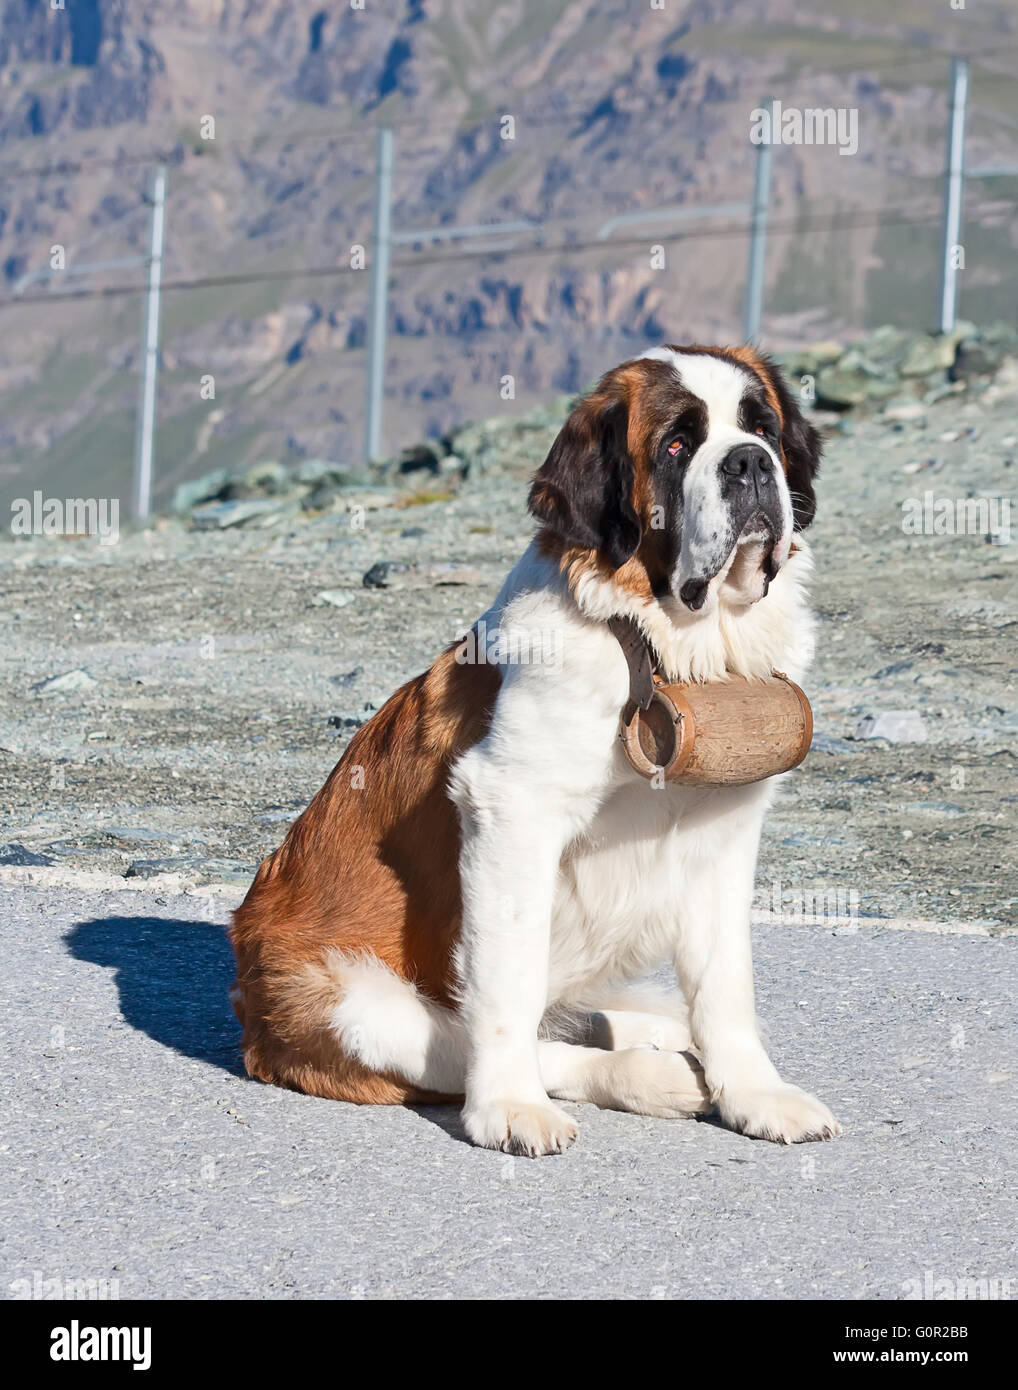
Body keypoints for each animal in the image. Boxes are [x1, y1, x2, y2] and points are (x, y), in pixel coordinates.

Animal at [232, 344, 845, 1150]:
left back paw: (650, 1039)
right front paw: (510, 1107)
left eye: (762, 427)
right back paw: (652, 1076)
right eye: (676, 445)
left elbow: (726, 986)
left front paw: (756, 1094)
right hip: (351, 1005)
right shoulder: (510, 811)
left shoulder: (723, 835)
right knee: (485, 1037)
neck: (660, 645)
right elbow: (508, 988)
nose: (748, 463)